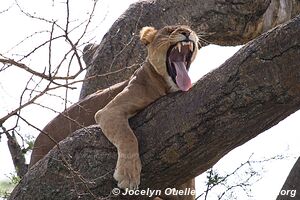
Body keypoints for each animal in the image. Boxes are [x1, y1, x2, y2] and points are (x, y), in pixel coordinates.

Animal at [29, 25, 199, 200]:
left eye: (189, 28)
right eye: (169, 31)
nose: (187, 32)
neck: (165, 85)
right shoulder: (109, 111)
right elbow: (128, 137)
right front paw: (128, 176)